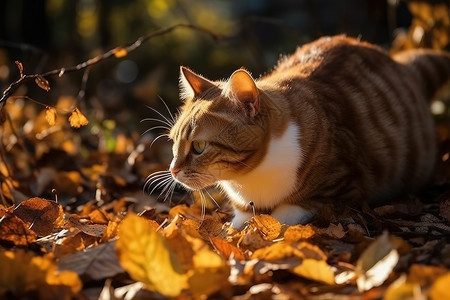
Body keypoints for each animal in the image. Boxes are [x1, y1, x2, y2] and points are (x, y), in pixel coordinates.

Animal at [148, 34, 450, 227]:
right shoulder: (243, 208)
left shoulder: (341, 186)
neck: (249, 179)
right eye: (173, 143)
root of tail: (401, 66)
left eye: (199, 147)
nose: (173, 169)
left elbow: (284, 215)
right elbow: (240, 221)